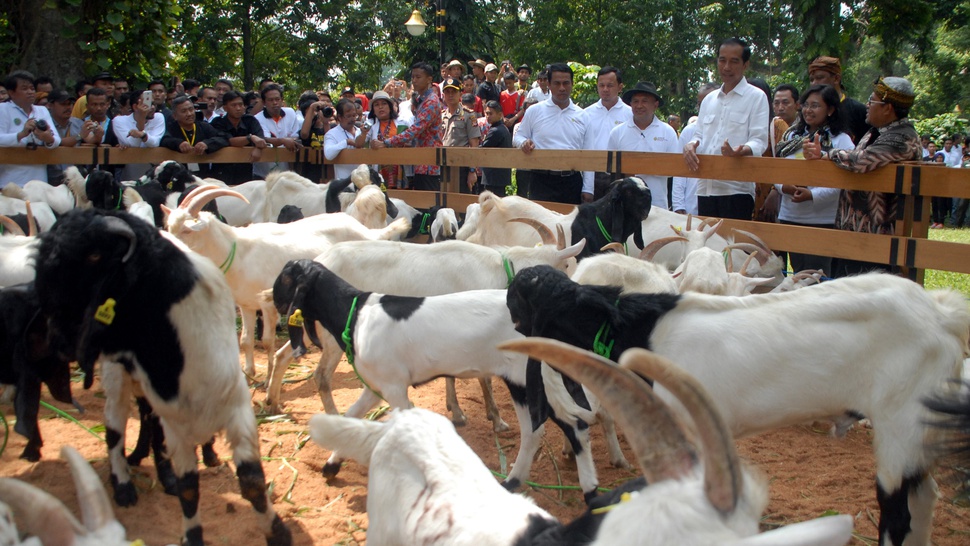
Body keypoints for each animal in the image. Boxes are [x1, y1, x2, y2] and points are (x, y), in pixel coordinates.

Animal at [34, 208, 292, 544]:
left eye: (93, 255)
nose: (55, 335)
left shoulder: (237, 408)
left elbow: (252, 481)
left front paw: (277, 532)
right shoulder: (176, 423)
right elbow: (188, 489)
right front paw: (191, 533)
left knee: (148, 418)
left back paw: (183, 459)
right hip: (118, 380)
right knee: (116, 428)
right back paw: (125, 483)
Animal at [506, 264, 968, 544]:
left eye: (519, 303)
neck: (641, 332)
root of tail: (940, 313)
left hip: (898, 427)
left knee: (898, 513)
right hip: (917, 433)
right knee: (925, 498)